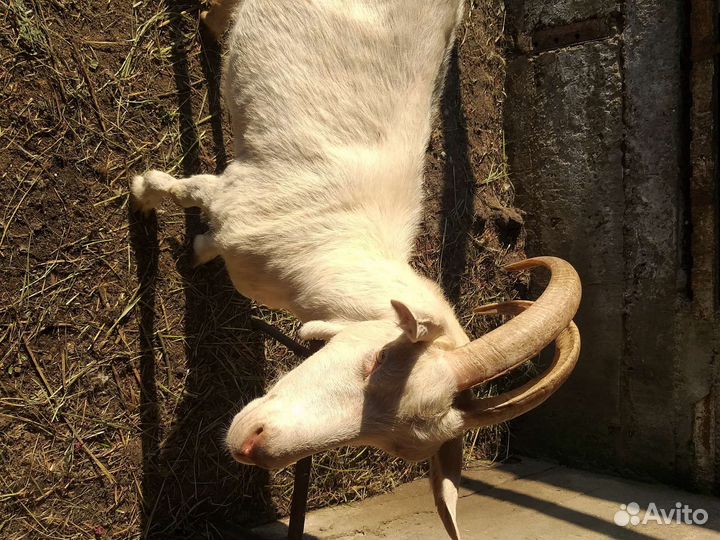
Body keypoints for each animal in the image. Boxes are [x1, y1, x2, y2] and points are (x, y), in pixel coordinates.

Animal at [130, 1, 581, 537]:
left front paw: (193, 251)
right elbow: (178, 189)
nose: (252, 444)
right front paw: (141, 196)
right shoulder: (233, 196)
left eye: (390, 445)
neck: (335, 252)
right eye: (377, 358)